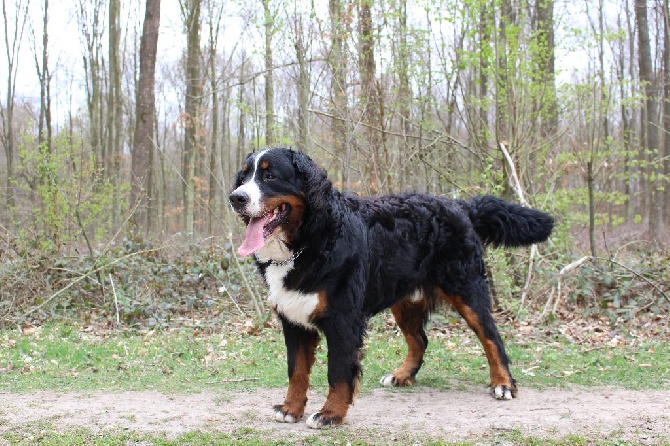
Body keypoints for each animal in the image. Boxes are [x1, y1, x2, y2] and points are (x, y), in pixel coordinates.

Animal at [231, 147, 556, 428]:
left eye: (270, 176)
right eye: (244, 177)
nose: (236, 198)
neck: (309, 240)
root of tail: (459, 205)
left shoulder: (342, 320)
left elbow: (338, 372)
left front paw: (330, 414)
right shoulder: (293, 318)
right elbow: (296, 371)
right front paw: (291, 408)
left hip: (467, 290)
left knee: (492, 338)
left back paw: (503, 384)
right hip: (405, 301)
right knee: (420, 340)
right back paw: (403, 375)